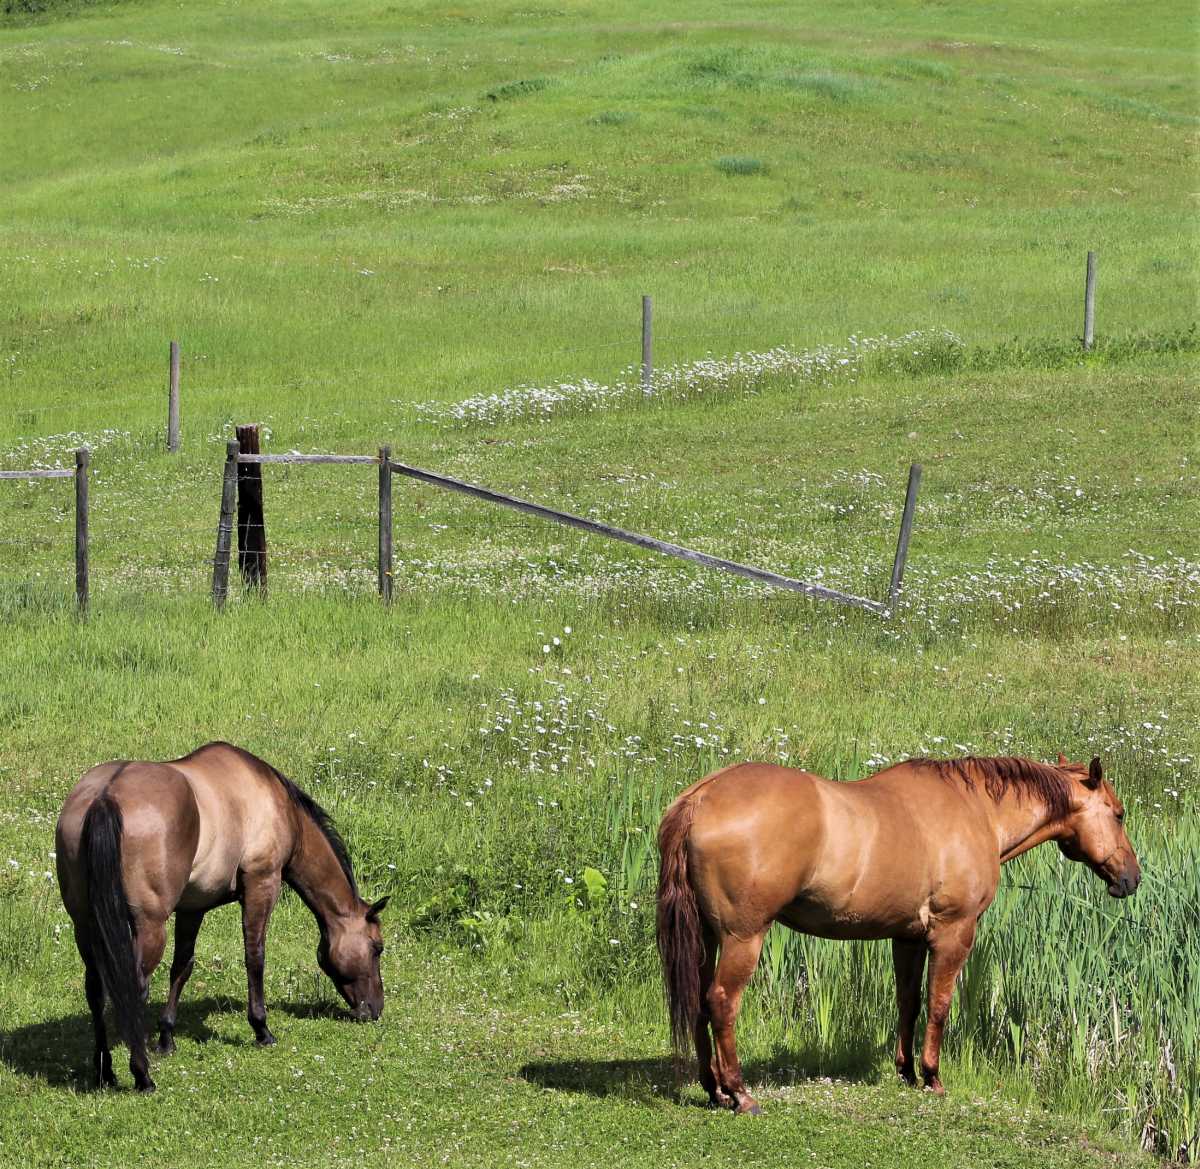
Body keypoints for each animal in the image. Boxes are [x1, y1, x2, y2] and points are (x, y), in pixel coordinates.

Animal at [55, 741, 389, 1092]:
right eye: (377, 948)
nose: (374, 1009)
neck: (273, 800)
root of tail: (106, 796)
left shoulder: (192, 908)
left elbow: (182, 967)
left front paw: (166, 1038)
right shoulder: (262, 885)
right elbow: (255, 957)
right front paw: (261, 1029)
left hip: (85, 926)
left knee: (96, 990)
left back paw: (105, 1071)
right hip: (149, 927)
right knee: (134, 989)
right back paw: (142, 1075)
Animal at [656, 754, 1140, 1115]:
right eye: (1119, 815)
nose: (1131, 879)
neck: (975, 808)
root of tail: (701, 798)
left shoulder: (907, 938)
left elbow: (908, 1002)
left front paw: (905, 1071)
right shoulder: (953, 933)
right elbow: (939, 1005)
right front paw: (932, 1076)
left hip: (707, 937)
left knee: (699, 1002)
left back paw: (714, 1089)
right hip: (743, 938)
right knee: (721, 1002)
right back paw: (739, 1093)